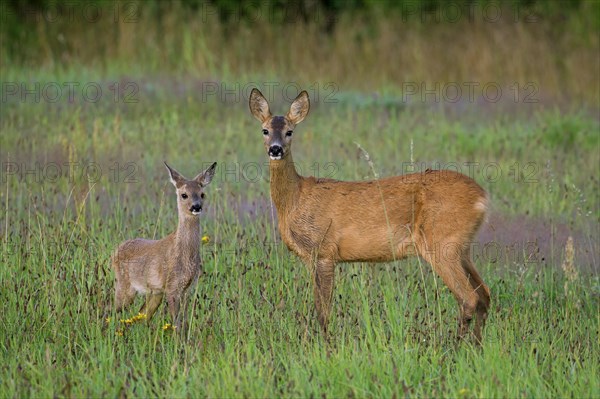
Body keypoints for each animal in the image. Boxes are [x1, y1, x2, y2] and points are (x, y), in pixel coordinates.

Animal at [111, 162, 217, 332]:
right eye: (184, 195)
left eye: (202, 194)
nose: (196, 207)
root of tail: (115, 251)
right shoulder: (172, 287)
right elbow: (177, 324)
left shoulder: (186, 288)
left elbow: (183, 323)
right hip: (125, 286)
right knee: (112, 311)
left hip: (155, 293)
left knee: (142, 315)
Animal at [251, 89, 490, 342]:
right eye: (265, 130)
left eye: (290, 131)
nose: (275, 149)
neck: (294, 200)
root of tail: (482, 197)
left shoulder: (324, 251)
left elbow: (323, 311)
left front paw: (324, 344)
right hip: (462, 247)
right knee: (485, 294)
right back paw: (476, 345)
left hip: (442, 242)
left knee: (469, 298)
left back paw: (454, 346)